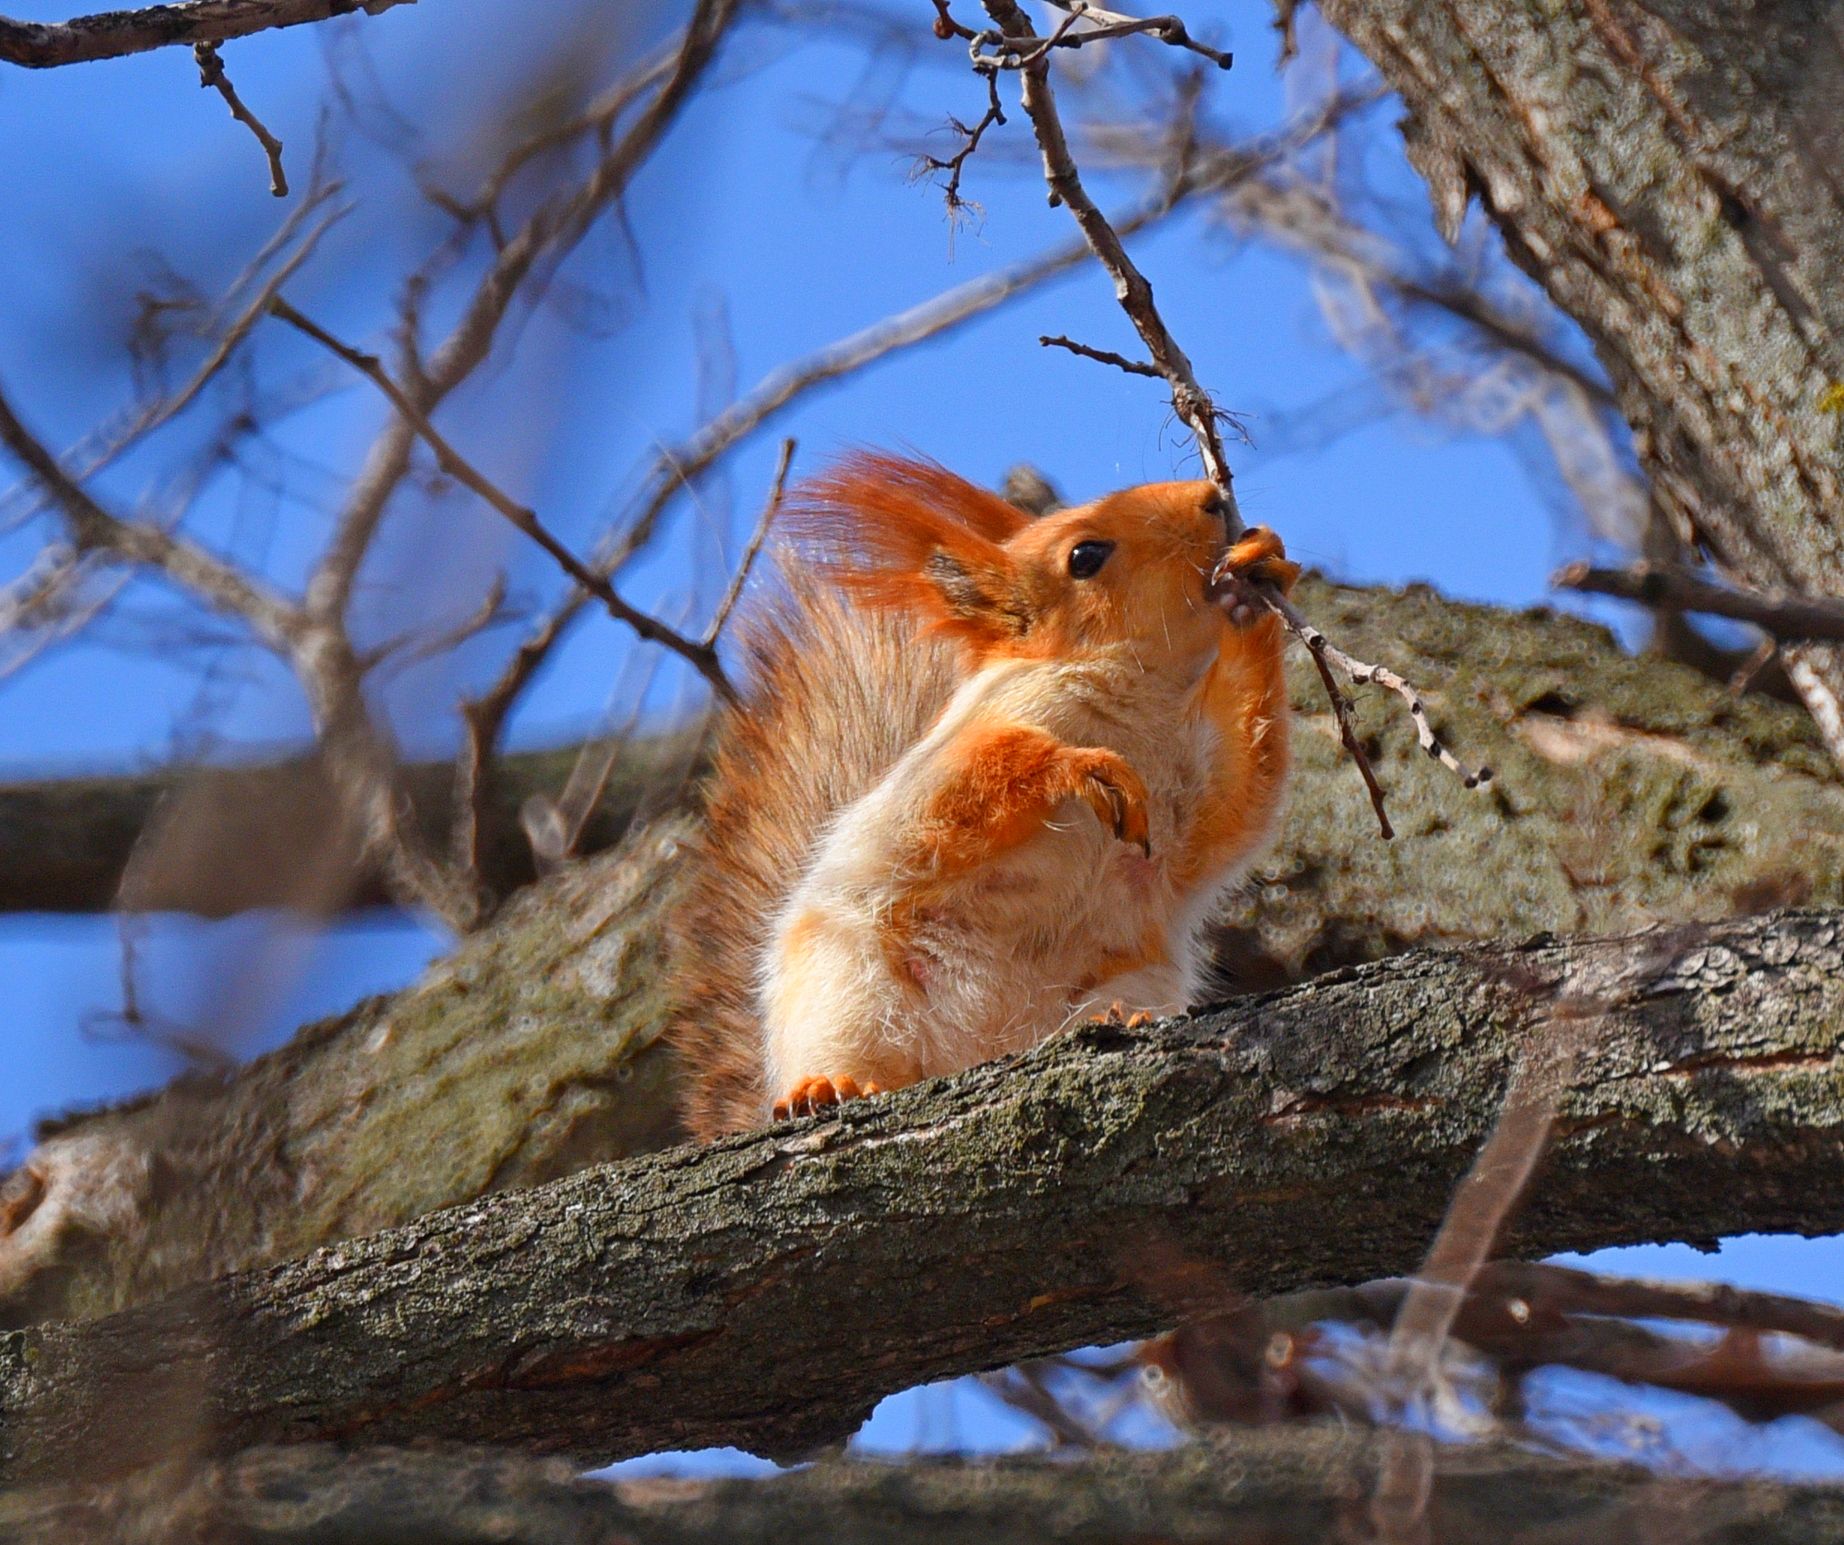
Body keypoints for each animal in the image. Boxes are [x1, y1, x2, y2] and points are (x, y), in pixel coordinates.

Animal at [667, 453, 1298, 1143]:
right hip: (848, 986)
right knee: (855, 1052)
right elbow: (962, 796)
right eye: (1085, 555)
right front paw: (1077, 767)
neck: (1144, 697)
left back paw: (1118, 1018)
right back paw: (823, 1086)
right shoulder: (957, 752)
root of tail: (978, 1046)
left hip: (1130, 976)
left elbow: (1245, 793)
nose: (1212, 499)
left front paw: (1259, 574)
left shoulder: (1197, 801)